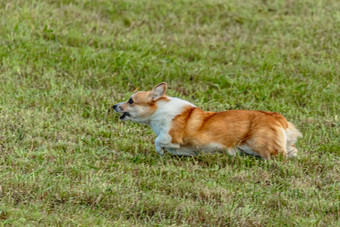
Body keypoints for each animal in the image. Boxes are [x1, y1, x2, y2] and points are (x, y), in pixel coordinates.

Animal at [113, 82, 302, 160]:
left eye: (130, 101)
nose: (114, 105)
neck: (159, 110)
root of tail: (276, 117)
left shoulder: (170, 136)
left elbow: (157, 141)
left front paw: (160, 152)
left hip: (260, 145)